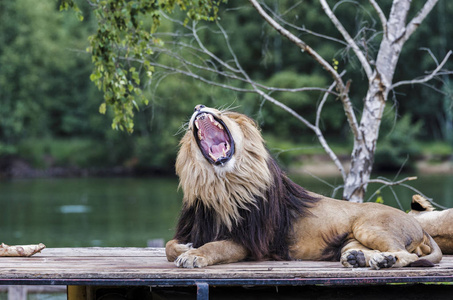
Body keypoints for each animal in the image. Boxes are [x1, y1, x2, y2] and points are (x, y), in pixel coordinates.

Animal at [164, 105, 440, 270]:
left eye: (223, 113)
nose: (199, 107)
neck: (221, 185)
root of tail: (419, 225)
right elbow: (168, 246)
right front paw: (185, 247)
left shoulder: (252, 242)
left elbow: (216, 246)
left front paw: (193, 255)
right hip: (350, 241)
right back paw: (362, 258)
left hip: (369, 226)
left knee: (409, 256)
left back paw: (385, 261)